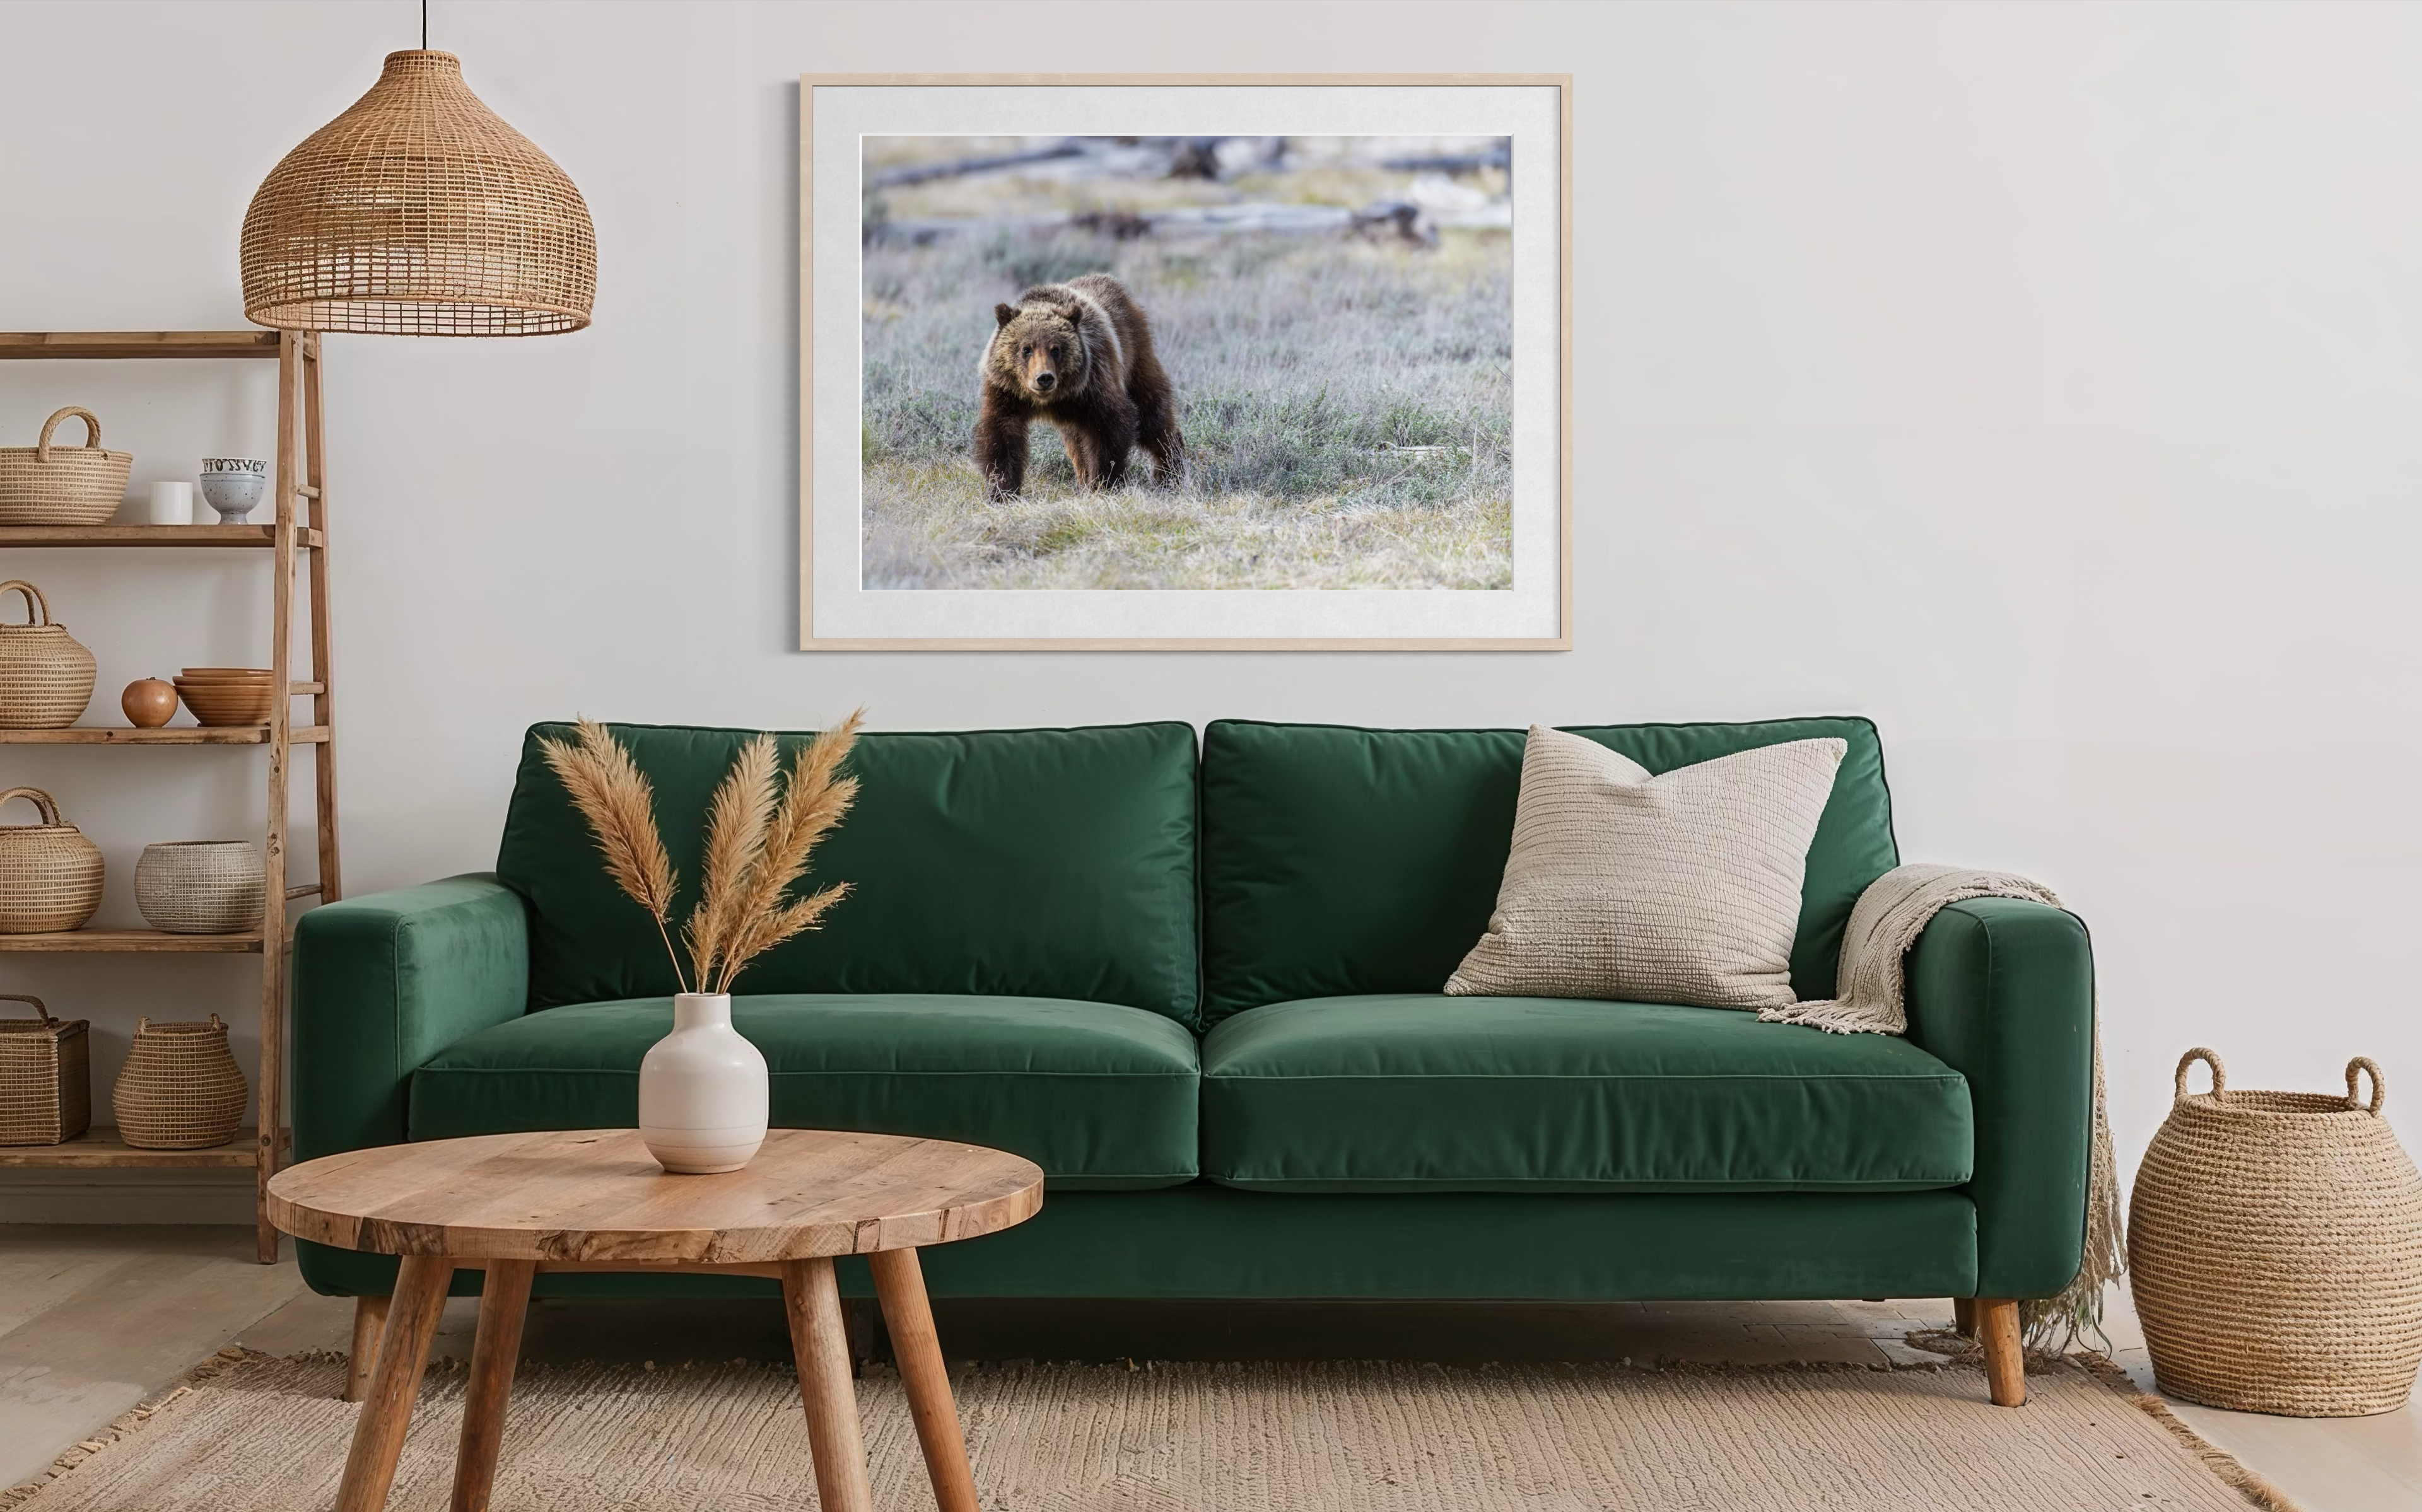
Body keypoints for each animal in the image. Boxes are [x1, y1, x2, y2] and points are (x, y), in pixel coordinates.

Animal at [972, 273, 1183, 499]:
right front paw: (1002, 491)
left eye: (1056, 349)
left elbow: (1110, 428)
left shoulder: (1093, 383)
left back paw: (1171, 471)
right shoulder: (1006, 391)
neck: (1051, 399)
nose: (1044, 378)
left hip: (1135, 356)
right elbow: (1002, 435)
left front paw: (1104, 484)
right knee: (1076, 443)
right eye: (1026, 349)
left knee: (1153, 417)